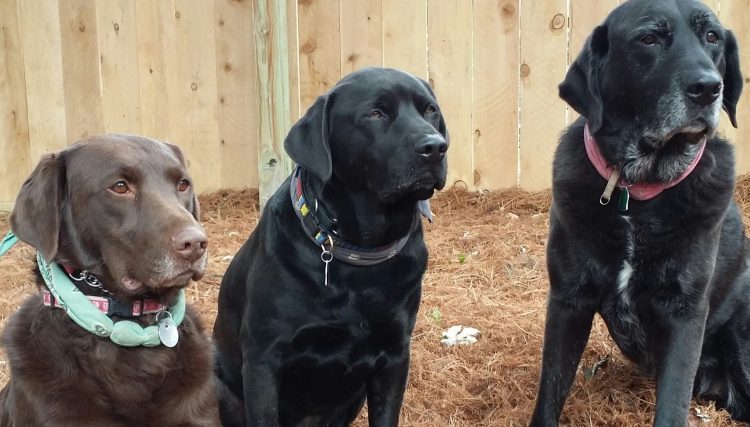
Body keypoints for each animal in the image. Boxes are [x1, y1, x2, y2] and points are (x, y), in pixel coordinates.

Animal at [213, 68, 446, 426]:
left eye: (430, 110)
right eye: (375, 113)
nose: (435, 147)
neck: (359, 251)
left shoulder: (394, 356)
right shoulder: (263, 359)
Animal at [532, 1, 748, 426]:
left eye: (712, 37)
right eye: (648, 38)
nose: (708, 87)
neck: (637, 192)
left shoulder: (686, 313)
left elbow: (671, 406)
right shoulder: (569, 300)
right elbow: (550, 392)